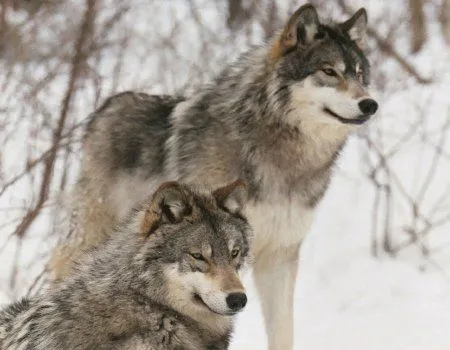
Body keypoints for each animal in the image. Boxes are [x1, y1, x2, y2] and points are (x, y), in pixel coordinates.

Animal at [51, 3, 378, 350]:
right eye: (328, 71)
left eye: (359, 74)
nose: (370, 104)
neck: (282, 157)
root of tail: (108, 105)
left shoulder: (278, 254)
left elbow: (282, 330)